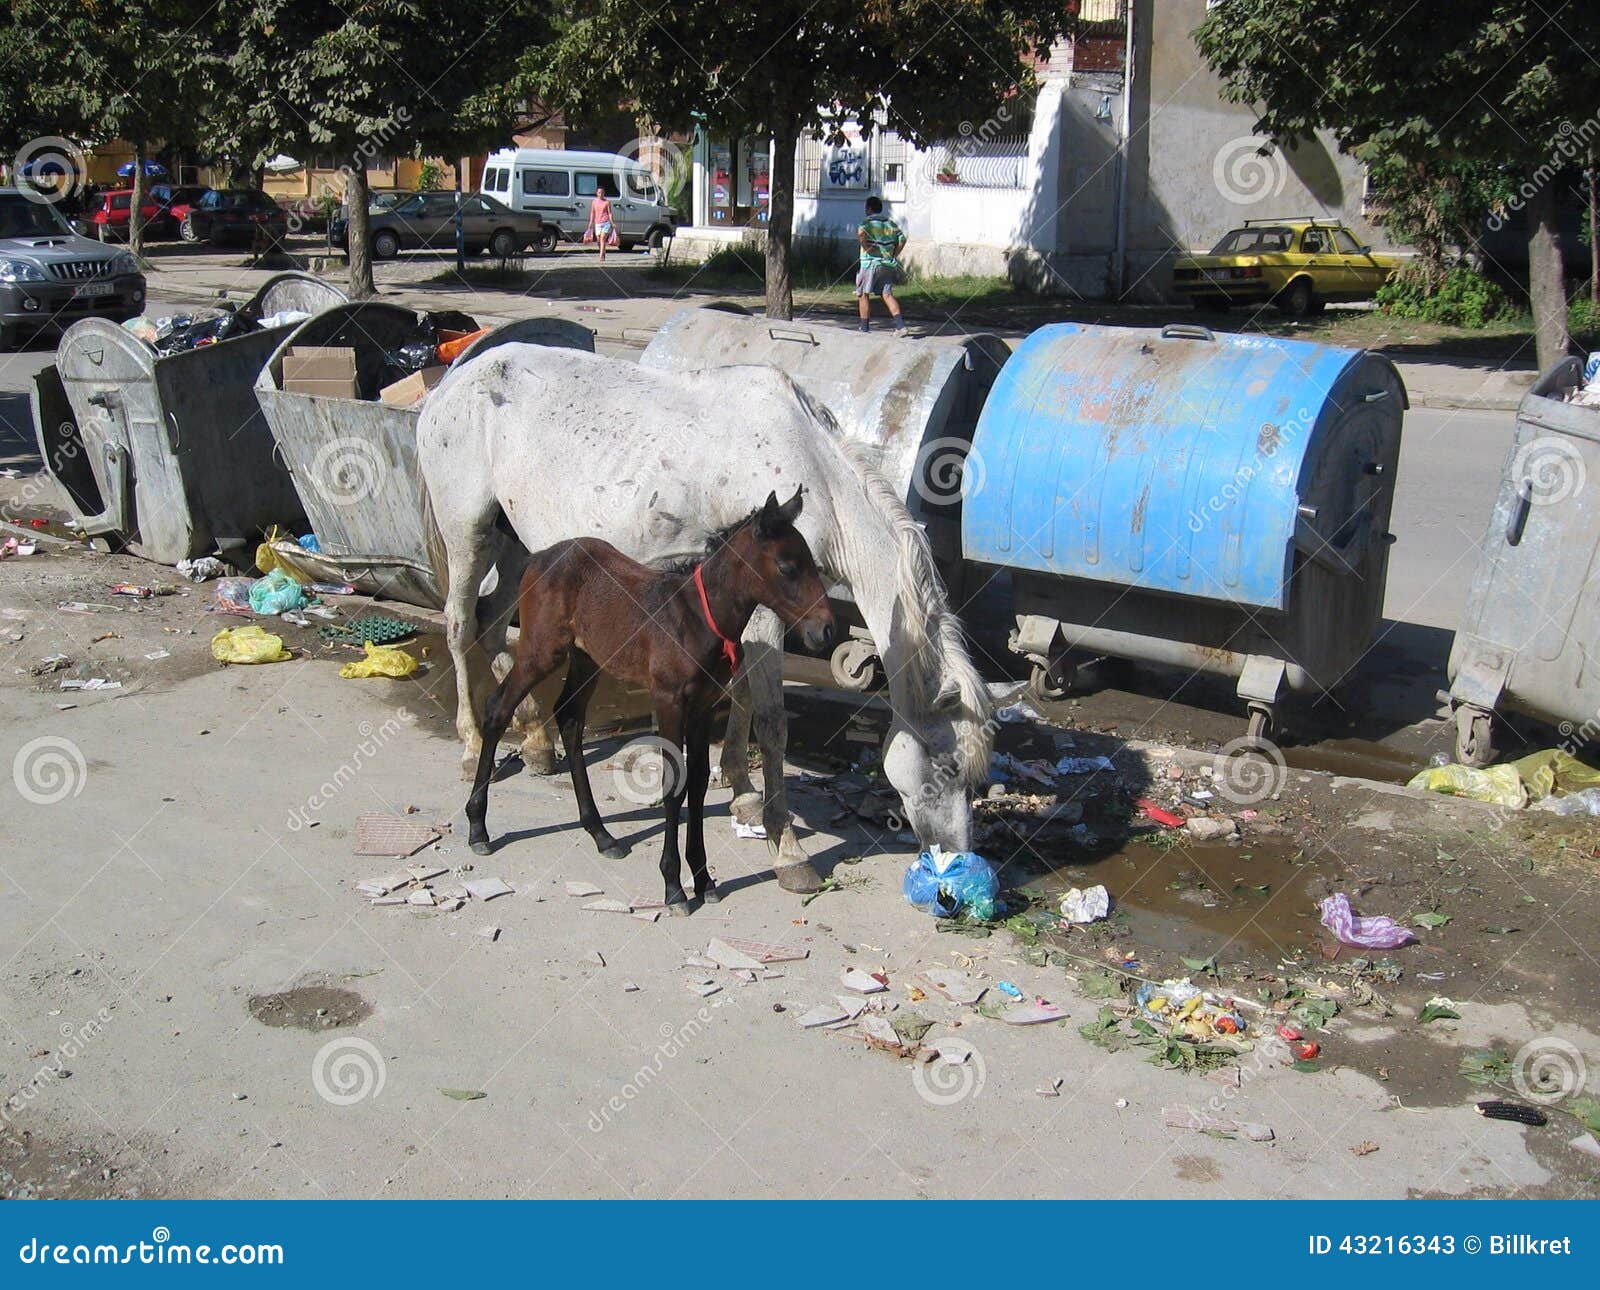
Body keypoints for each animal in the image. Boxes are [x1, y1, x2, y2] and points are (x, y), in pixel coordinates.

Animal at [464, 488, 835, 912]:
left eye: (812, 564)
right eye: (788, 567)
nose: (826, 630)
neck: (697, 618)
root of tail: (539, 557)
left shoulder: (704, 705)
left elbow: (697, 783)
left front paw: (703, 879)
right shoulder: (669, 700)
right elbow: (674, 784)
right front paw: (673, 886)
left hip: (587, 658)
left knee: (569, 718)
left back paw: (601, 833)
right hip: (540, 652)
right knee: (498, 708)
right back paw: (478, 828)